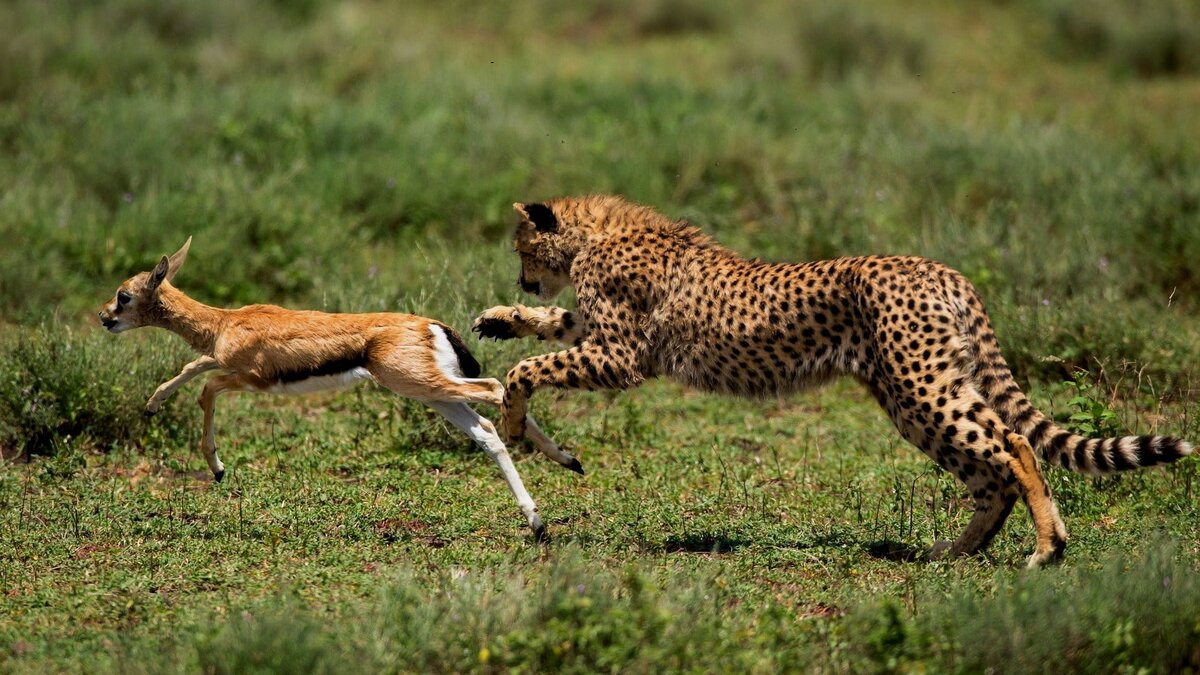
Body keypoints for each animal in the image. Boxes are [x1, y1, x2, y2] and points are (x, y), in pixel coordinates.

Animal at [472, 195, 1195, 566]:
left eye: (521, 246)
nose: (521, 278)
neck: (600, 232)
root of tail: (940, 268)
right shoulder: (608, 339)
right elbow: (552, 327)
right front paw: (502, 319)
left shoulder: (623, 356)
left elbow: (528, 369)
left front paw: (513, 420)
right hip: (914, 396)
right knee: (990, 473)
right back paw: (955, 550)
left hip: (921, 387)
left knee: (1013, 447)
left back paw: (1049, 547)